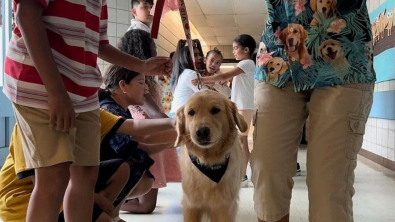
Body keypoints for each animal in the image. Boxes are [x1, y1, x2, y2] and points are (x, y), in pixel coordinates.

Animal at [176, 89, 248, 221]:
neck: (209, 163)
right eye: (191, 112)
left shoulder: (225, 208)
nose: (202, 132)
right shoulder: (191, 206)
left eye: (215, 110)